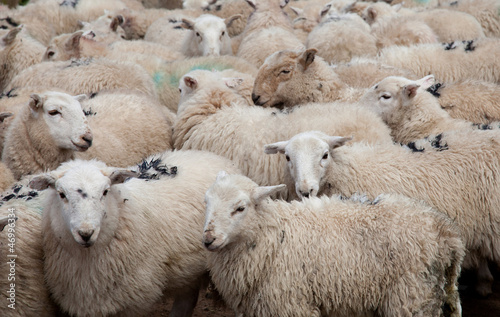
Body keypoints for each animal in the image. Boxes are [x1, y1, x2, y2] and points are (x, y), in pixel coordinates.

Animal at [28, 149, 242, 316]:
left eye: (105, 191)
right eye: (61, 194)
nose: (86, 233)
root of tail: (205, 154)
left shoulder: (133, 302)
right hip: (187, 270)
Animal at [202, 170, 464, 316]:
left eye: (240, 208)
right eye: (207, 202)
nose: (208, 239)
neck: (274, 238)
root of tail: (447, 232)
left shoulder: (292, 305)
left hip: (411, 296)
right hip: (440, 293)